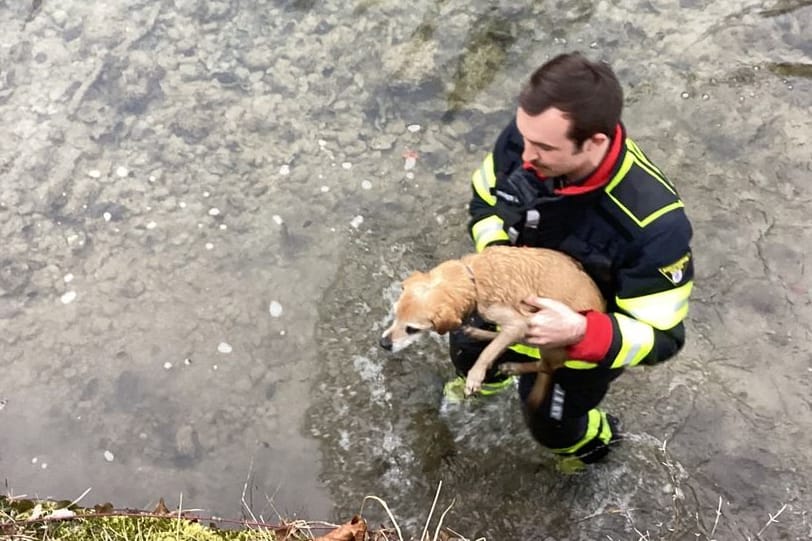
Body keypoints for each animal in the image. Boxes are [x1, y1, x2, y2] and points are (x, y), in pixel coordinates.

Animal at [380, 246, 604, 410]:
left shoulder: (518, 323)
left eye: (412, 329)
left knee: (545, 366)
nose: (383, 344)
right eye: (395, 313)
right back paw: (479, 333)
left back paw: (513, 366)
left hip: (549, 338)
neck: (473, 280)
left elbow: (487, 352)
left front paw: (475, 375)